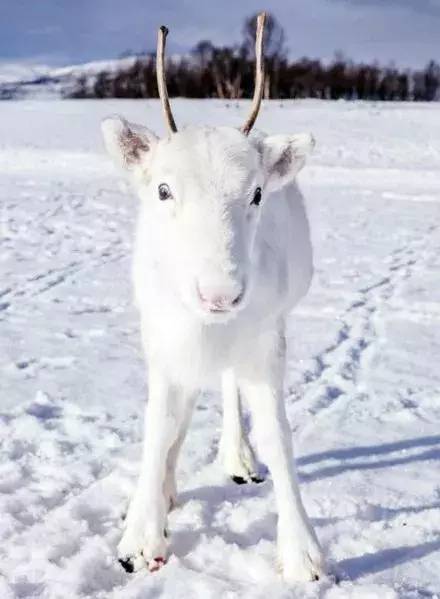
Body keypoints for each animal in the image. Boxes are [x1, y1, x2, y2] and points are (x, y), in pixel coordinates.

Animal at [101, 15, 324, 584]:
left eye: (257, 193)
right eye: (162, 190)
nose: (220, 293)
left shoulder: (266, 342)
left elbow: (278, 436)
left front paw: (303, 553)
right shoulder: (162, 338)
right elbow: (160, 425)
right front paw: (142, 536)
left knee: (226, 388)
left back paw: (237, 458)